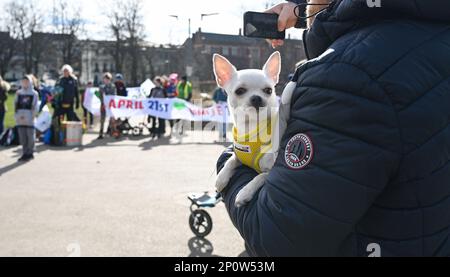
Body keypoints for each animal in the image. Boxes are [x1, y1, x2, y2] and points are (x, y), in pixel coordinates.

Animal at [214, 51, 296, 206]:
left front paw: (244, 192)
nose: (257, 98)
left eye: (268, 90)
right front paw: (221, 179)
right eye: (239, 91)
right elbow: (230, 161)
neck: (251, 126)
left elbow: (259, 177)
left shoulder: (270, 171)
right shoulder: (238, 156)